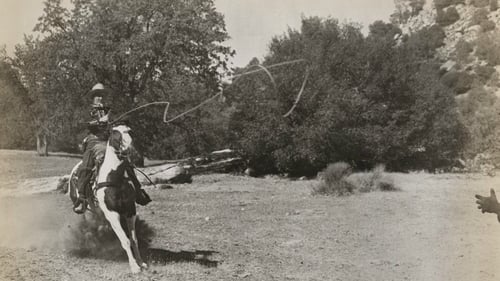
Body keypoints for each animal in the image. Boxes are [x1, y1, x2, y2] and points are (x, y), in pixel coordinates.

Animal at [68, 124, 146, 272]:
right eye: (116, 135)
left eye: (131, 132)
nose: (134, 154)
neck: (115, 178)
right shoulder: (112, 213)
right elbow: (125, 240)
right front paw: (134, 267)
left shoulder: (130, 211)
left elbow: (134, 239)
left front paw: (141, 262)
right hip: (86, 210)